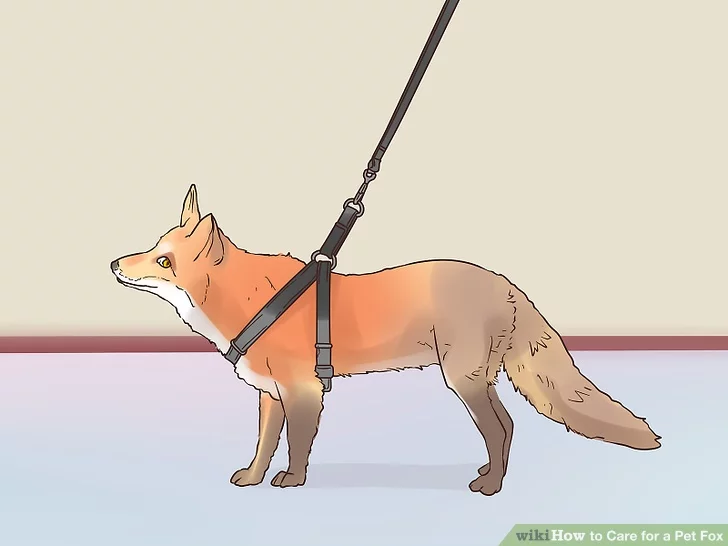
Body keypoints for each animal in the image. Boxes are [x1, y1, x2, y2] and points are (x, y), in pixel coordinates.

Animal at [110, 184, 661, 496]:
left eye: (164, 261)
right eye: (152, 248)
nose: (115, 264)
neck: (264, 300)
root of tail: (506, 284)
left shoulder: (304, 393)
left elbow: (297, 446)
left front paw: (292, 483)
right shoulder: (270, 395)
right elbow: (264, 446)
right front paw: (252, 480)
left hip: (463, 381)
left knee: (500, 427)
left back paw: (490, 485)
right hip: (476, 380)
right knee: (504, 428)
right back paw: (491, 473)